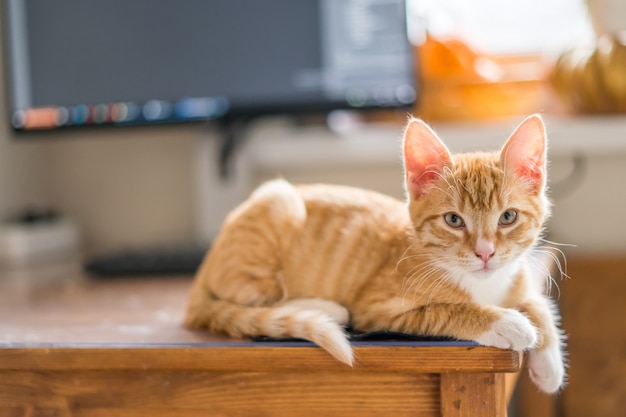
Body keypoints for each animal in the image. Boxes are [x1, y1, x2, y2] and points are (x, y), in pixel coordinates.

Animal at [184, 114, 564, 394]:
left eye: (508, 217)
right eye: (454, 220)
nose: (485, 253)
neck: (485, 285)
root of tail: (203, 269)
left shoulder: (518, 279)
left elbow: (538, 302)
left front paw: (549, 364)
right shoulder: (378, 310)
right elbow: (447, 310)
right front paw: (508, 323)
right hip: (278, 203)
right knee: (256, 299)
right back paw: (326, 308)